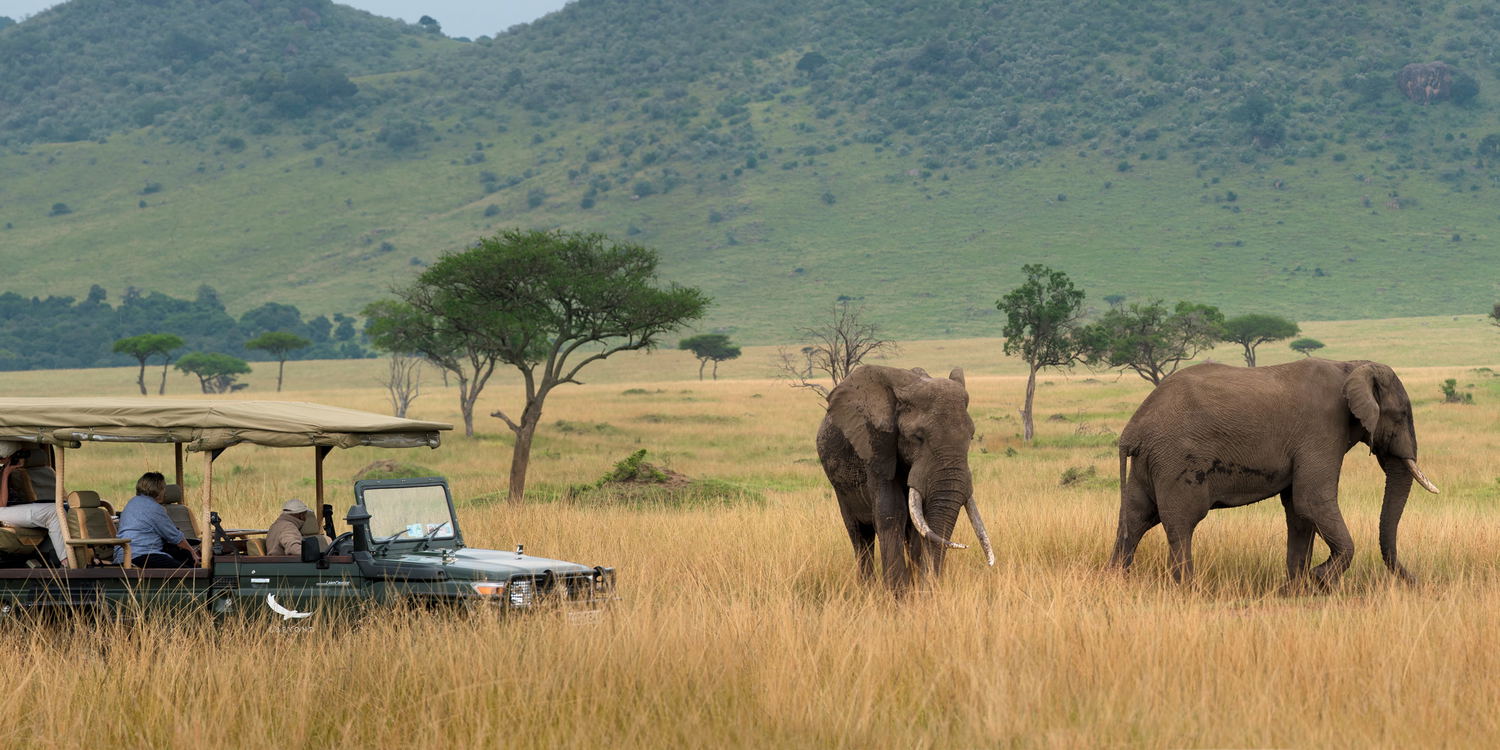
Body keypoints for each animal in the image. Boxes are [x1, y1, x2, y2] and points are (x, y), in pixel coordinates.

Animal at [816, 365, 995, 592]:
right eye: (917, 437)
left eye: (971, 437)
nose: (930, 590)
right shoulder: (877, 447)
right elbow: (891, 512)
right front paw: (898, 595)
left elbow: (922, 522)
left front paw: (915, 592)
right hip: (841, 487)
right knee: (860, 536)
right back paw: (866, 589)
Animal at [1109, 358, 1440, 589]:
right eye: (1402, 416)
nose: (1418, 583)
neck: (1351, 366)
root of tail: (1132, 429)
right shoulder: (1321, 429)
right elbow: (1311, 500)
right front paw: (1321, 580)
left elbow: (1299, 511)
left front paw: (1297, 590)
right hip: (1176, 461)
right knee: (1180, 523)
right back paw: (1187, 589)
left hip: (1147, 464)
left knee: (1135, 520)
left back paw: (1115, 581)